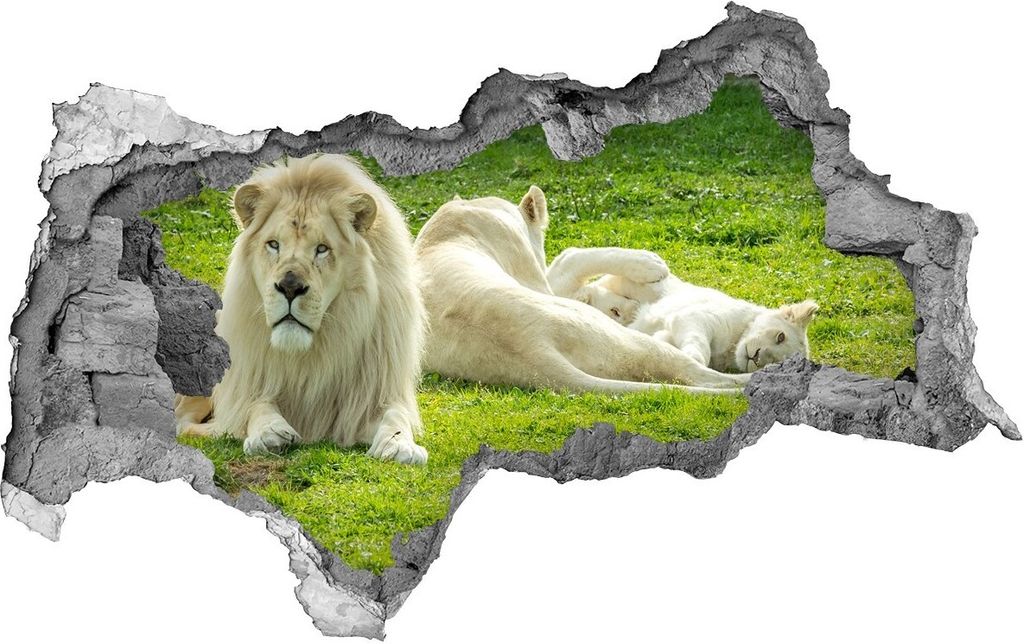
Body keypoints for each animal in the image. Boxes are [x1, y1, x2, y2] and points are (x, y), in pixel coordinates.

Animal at [176, 154, 428, 463]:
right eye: (273, 245)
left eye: (322, 249)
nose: (289, 287)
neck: (310, 354)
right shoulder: (247, 386)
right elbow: (256, 406)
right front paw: (269, 433)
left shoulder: (374, 395)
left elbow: (396, 415)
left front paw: (399, 445)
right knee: (183, 420)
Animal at [412, 187, 750, 393]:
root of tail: (536, 355)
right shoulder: (538, 278)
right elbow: (570, 257)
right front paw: (652, 266)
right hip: (624, 340)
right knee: (704, 375)